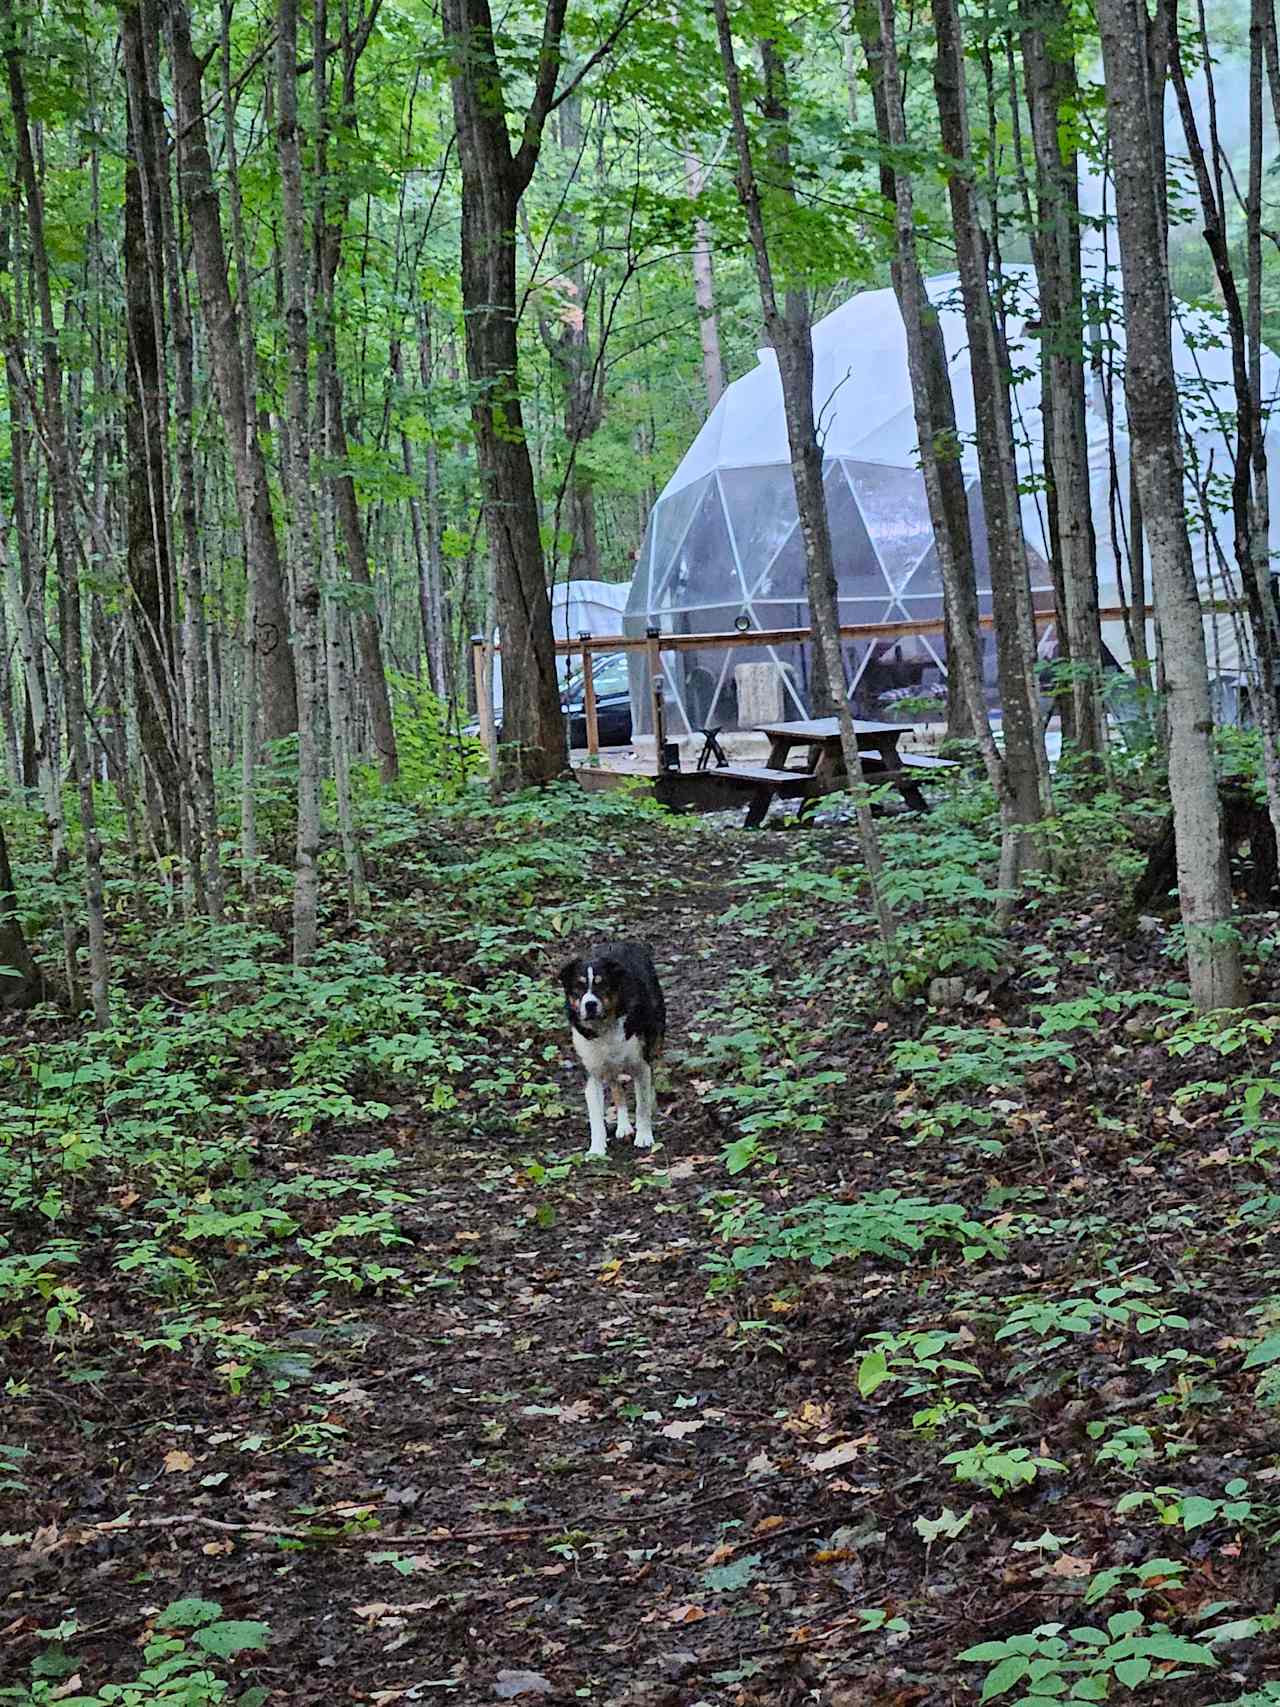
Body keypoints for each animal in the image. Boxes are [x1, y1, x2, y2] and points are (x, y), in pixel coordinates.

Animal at [556, 942, 665, 1153]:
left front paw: (644, 1136)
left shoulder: (641, 1065)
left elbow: (642, 1105)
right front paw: (597, 1149)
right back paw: (623, 1126)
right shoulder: (593, 1073)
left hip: (656, 1035)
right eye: (578, 987)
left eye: (602, 984)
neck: (604, 1027)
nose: (590, 1004)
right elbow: (596, 1116)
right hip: (609, 1067)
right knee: (616, 1087)